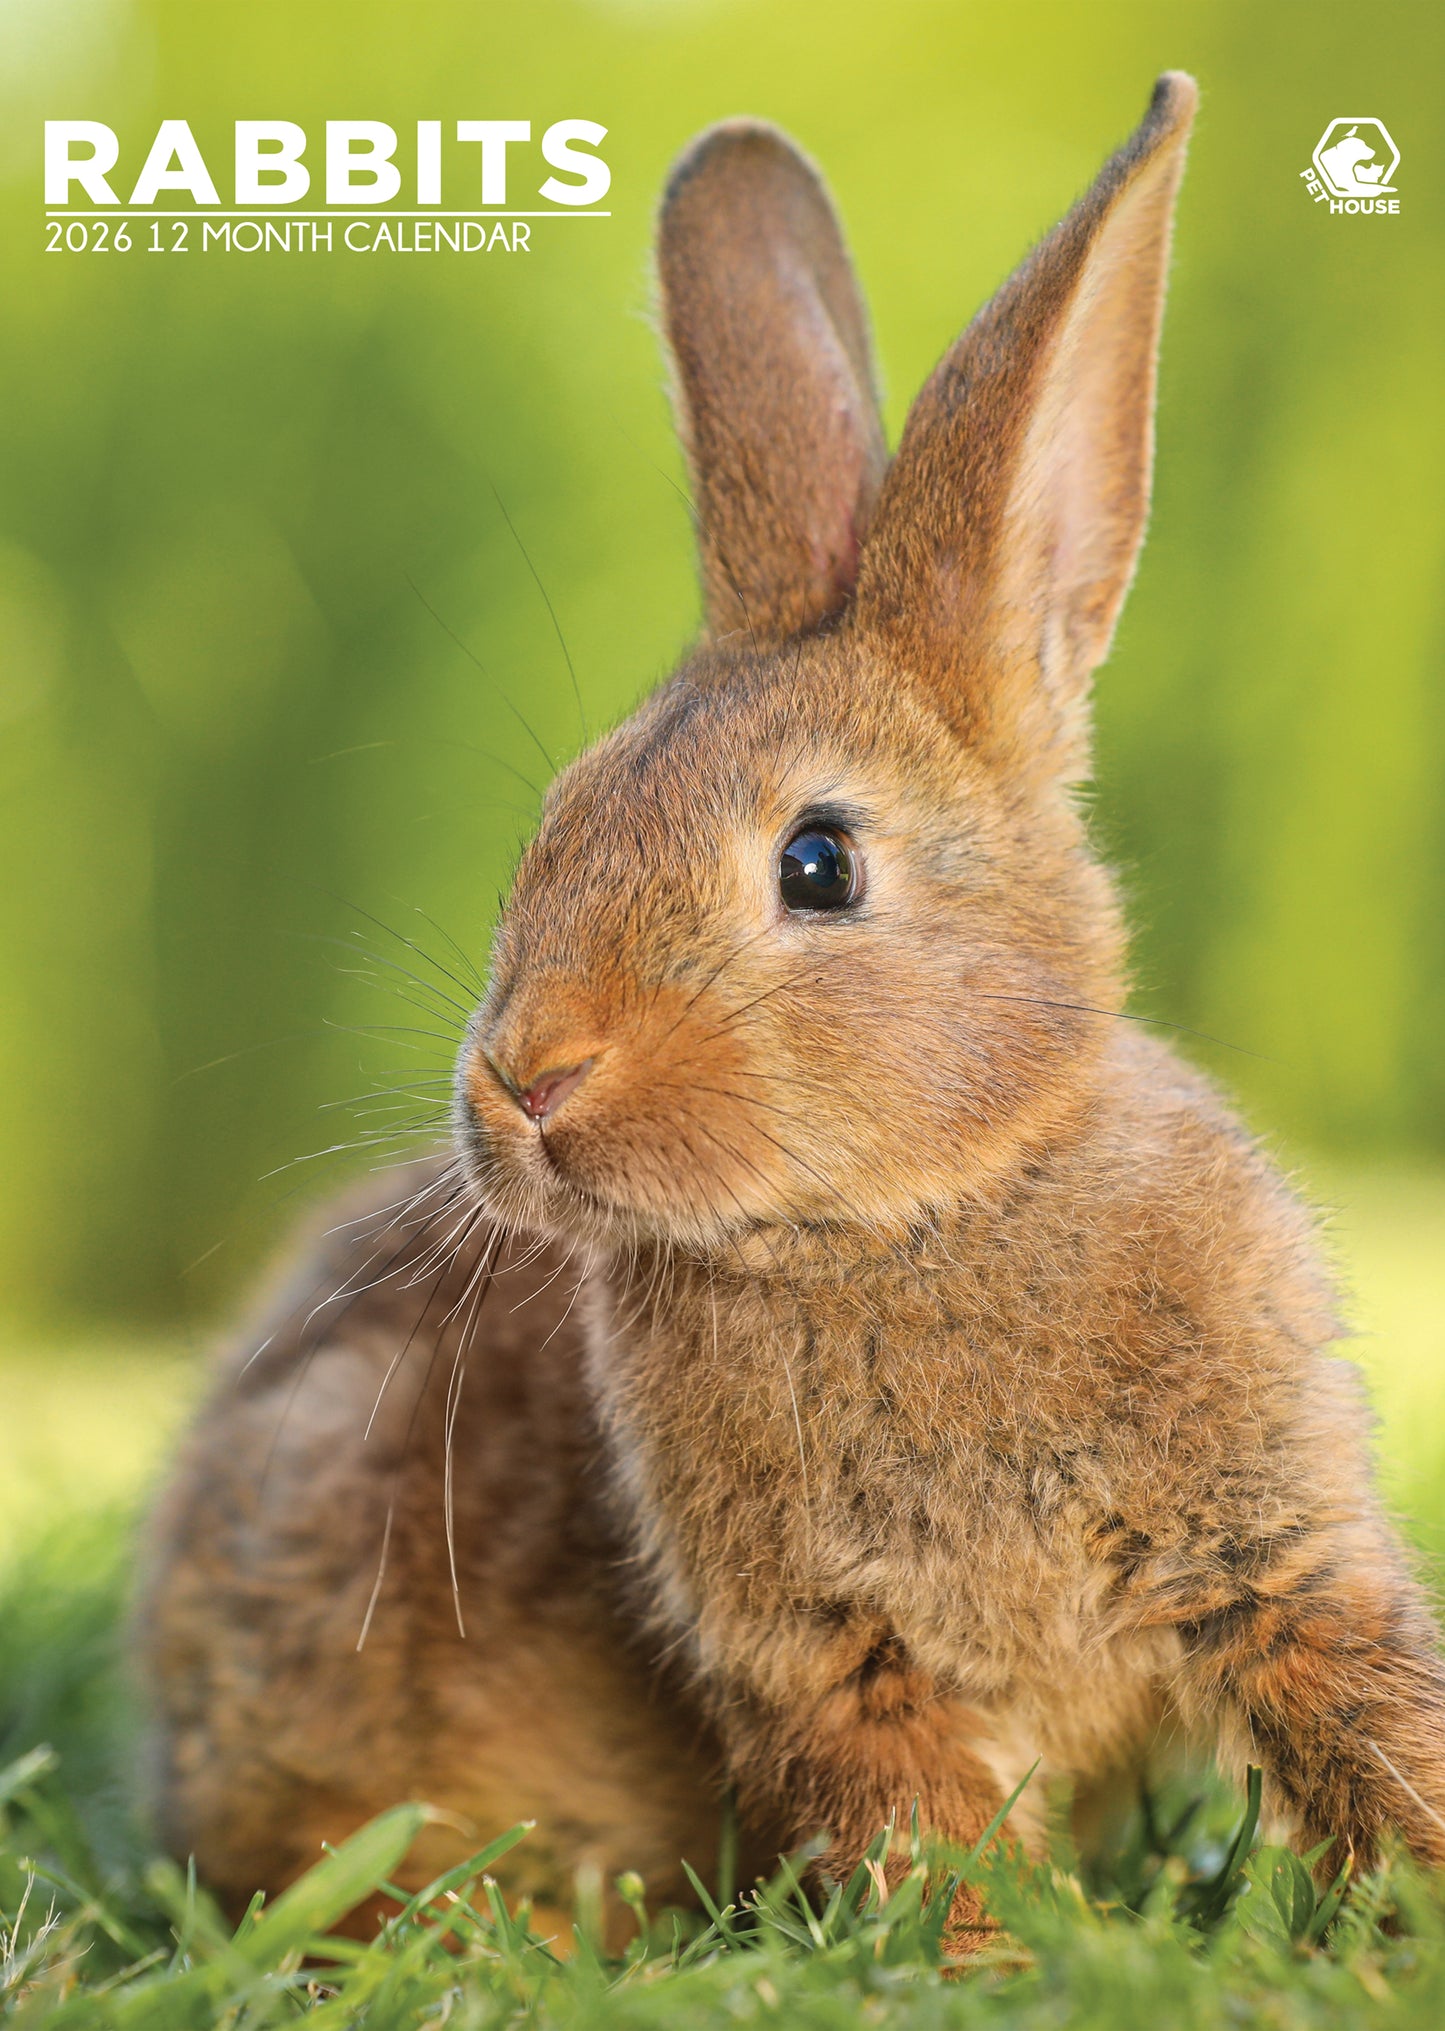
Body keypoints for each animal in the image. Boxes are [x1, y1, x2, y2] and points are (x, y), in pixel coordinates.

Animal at [140, 71, 1445, 1952]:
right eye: (557, 824)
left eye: (818, 863)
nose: (525, 1084)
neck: (912, 1217)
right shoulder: (833, 1663)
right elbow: (916, 1826)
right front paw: (985, 1961)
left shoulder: (1280, 1558)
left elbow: (1366, 1714)